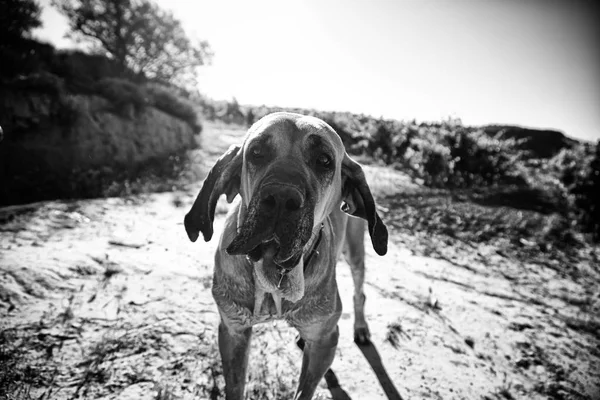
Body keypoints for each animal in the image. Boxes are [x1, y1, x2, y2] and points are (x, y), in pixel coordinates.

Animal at [184, 111, 390, 400]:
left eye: (324, 160)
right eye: (256, 152)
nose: (281, 197)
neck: (275, 274)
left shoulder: (326, 341)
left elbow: (304, 391)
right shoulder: (233, 332)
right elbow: (235, 386)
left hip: (355, 254)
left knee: (359, 292)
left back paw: (360, 328)